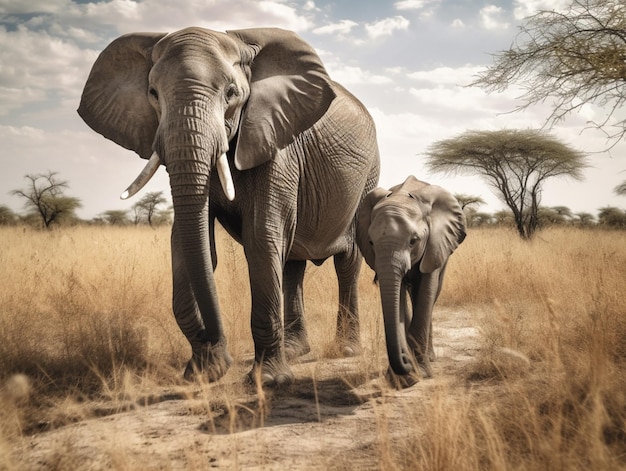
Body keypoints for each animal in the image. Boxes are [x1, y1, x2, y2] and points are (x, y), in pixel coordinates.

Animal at [78, 26, 380, 388]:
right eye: (153, 93)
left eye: (232, 93)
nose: (221, 355)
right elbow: (189, 243)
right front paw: (202, 372)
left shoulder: (275, 140)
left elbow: (261, 238)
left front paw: (268, 381)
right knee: (293, 262)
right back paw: (295, 350)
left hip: (368, 178)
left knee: (347, 262)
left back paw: (346, 349)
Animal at [356, 175, 464, 386]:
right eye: (371, 242)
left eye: (414, 241)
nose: (405, 360)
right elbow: (397, 298)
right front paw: (401, 378)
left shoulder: (434, 243)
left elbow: (427, 291)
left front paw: (419, 373)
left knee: (431, 295)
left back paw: (429, 358)